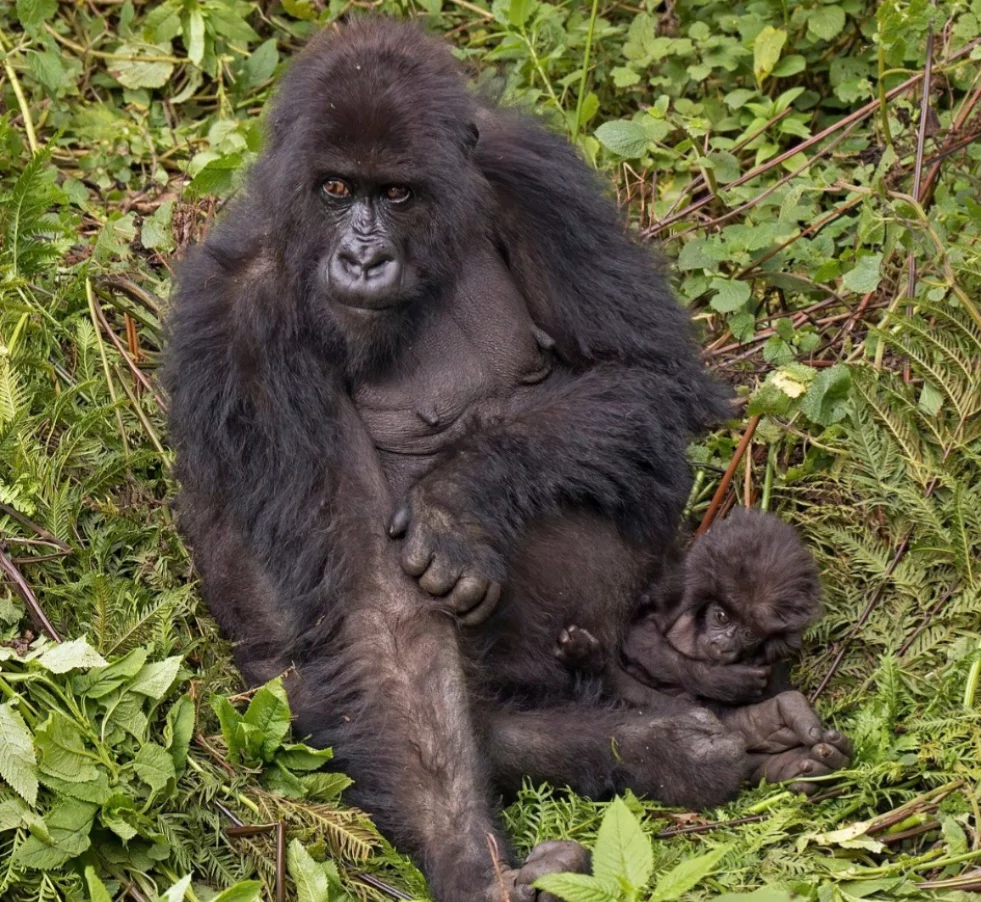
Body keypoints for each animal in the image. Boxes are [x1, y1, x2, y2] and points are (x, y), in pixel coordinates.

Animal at [556, 508, 824, 708]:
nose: (724, 643)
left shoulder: (776, 664)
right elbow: (640, 633)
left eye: (749, 634)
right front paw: (719, 680)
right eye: (722, 617)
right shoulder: (683, 587)